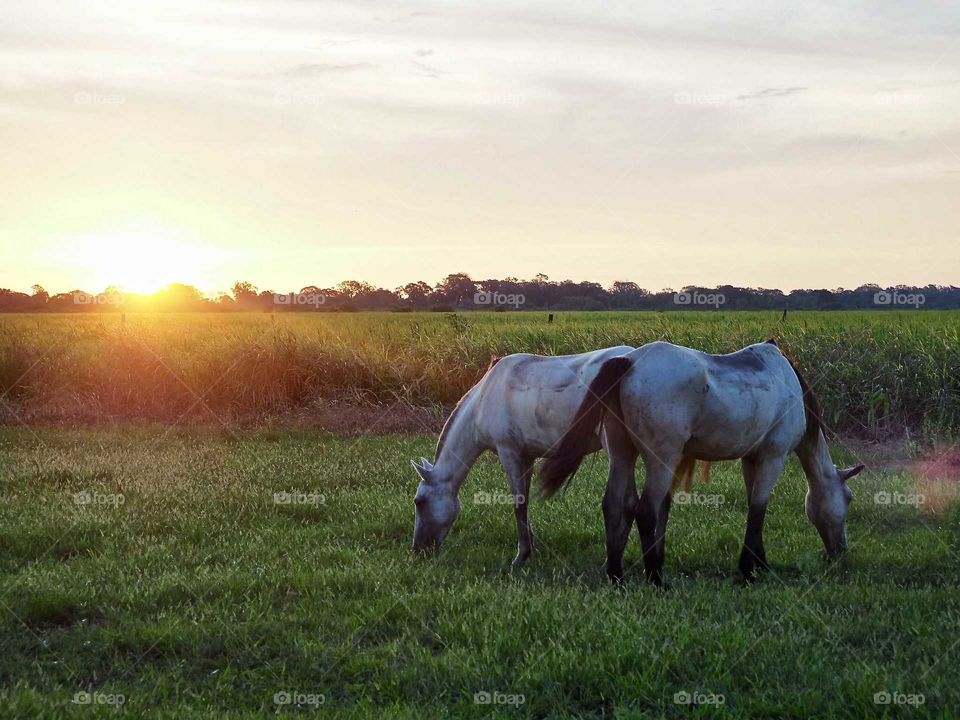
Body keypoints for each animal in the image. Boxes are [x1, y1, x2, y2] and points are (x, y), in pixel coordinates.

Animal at [408, 346, 632, 564]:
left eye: (419, 501)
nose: (418, 549)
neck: (483, 399)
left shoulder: (509, 453)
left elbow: (519, 504)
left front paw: (522, 555)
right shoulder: (527, 457)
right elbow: (525, 501)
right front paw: (531, 548)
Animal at [540, 338, 864, 584]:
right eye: (848, 497)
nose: (840, 551)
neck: (787, 381)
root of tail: (630, 362)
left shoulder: (751, 459)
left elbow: (753, 506)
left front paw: (760, 563)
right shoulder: (773, 457)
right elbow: (758, 510)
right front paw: (749, 571)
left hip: (622, 455)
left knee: (614, 505)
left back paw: (616, 576)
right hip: (662, 458)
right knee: (645, 510)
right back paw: (656, 579)